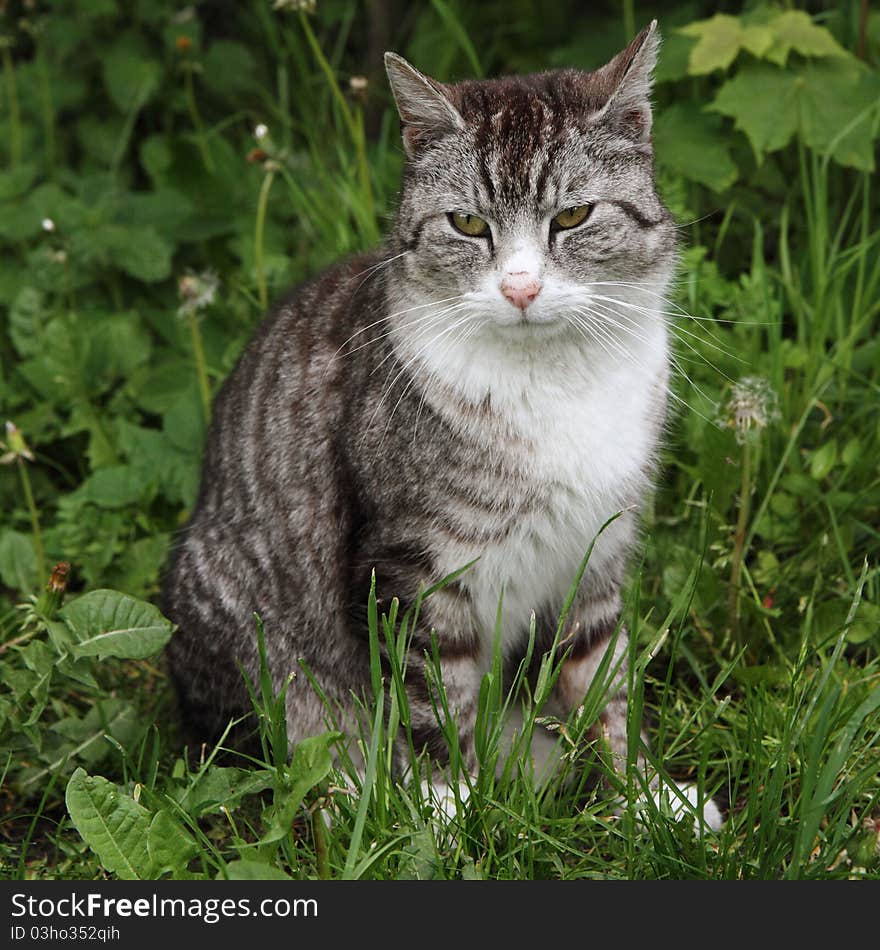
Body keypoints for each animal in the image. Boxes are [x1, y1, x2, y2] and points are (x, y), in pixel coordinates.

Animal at [163, 18, 720, 828]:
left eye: (573, 216)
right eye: (466, 223)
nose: (520, 287)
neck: (553, 382)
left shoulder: (598, 553)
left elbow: (604, 686)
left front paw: (647, 799)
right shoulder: (410, 568)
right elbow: (430, 698)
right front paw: (451, 813)